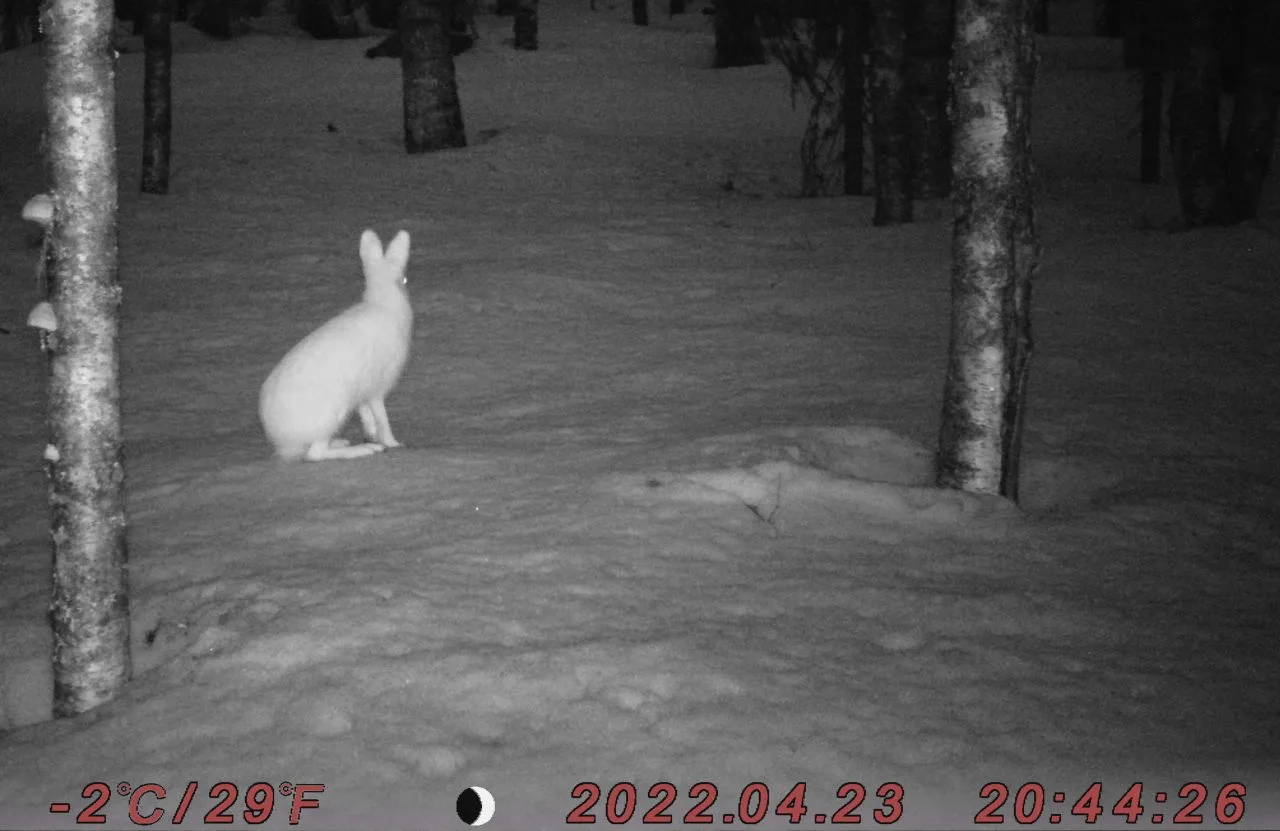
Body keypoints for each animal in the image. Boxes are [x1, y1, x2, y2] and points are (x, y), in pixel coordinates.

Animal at [259, 229, 414, 462]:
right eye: (404, 280)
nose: (405, 285)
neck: (383, 298)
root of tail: (283, 441)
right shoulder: (376, 388)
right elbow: (381, 416)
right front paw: (392, 442)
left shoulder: (362, 394)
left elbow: (365, 413)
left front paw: (371, 433)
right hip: (333, 412)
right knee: (315, 454)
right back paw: (362, 449)